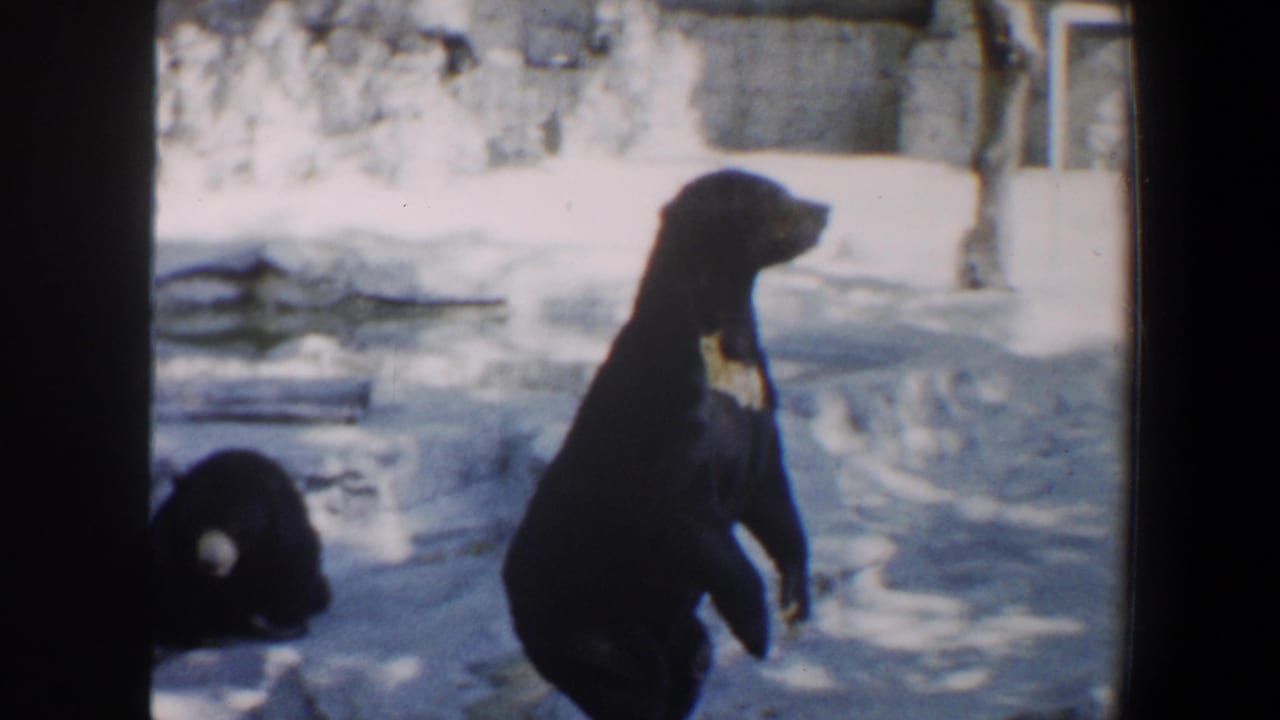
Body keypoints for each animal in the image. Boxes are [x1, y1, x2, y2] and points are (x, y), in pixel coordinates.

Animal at [149, 448, 331, 650]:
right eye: (196, 524)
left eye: (234, 525)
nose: (210, 563)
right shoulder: (174, 541)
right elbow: (178, 583)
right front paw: (206, 635)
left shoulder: (283, 535)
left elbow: (292, 567)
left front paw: (284, 626)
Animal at [502, 169, 827, 720]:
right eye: (773, 197)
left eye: (784, 189)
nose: (823, 210)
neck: (718, 346)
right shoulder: (668, 419)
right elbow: (689, 514)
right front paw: (756, 628)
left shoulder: (755, 407)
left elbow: (772, 497)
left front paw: (795, 599)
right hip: (586, 620)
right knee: (631, 684)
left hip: (661, 625)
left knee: (690, 660)